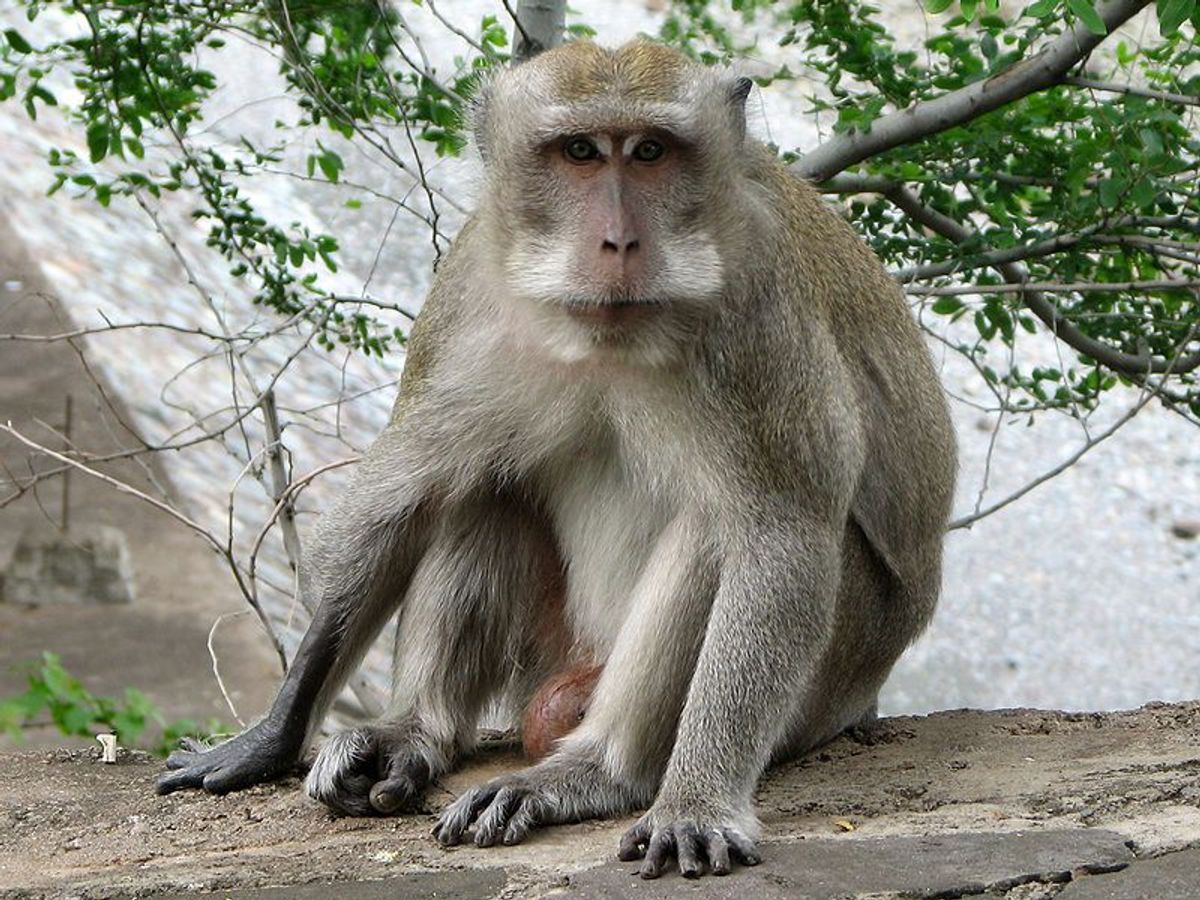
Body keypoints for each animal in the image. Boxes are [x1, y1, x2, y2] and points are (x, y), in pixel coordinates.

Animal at [156, 39, 957, 880]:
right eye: (579, 152)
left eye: (650, 152)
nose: (620, 242)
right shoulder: (467, 285)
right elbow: (398, 503)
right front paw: (273, 735)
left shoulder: (758, 311)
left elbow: (782, 536)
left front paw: (697, 801)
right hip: (553, 651)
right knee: (482, 485)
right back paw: (415, 732)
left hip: (828, 678)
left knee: (716, 530)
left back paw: (597, 770)